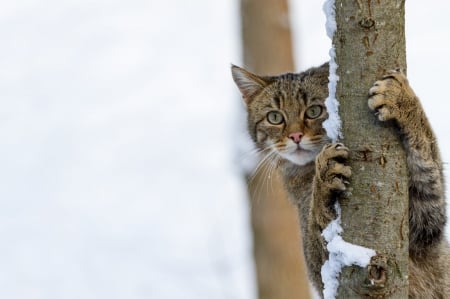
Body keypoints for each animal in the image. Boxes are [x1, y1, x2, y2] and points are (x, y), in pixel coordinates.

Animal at [232, 63, 450, 298]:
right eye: (274, 117)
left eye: (314, 111)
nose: (295, 136)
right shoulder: (321, 272)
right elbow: (320, 229)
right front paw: (324, 176)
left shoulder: (424, 226)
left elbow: (426, 149)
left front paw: (402, 99)